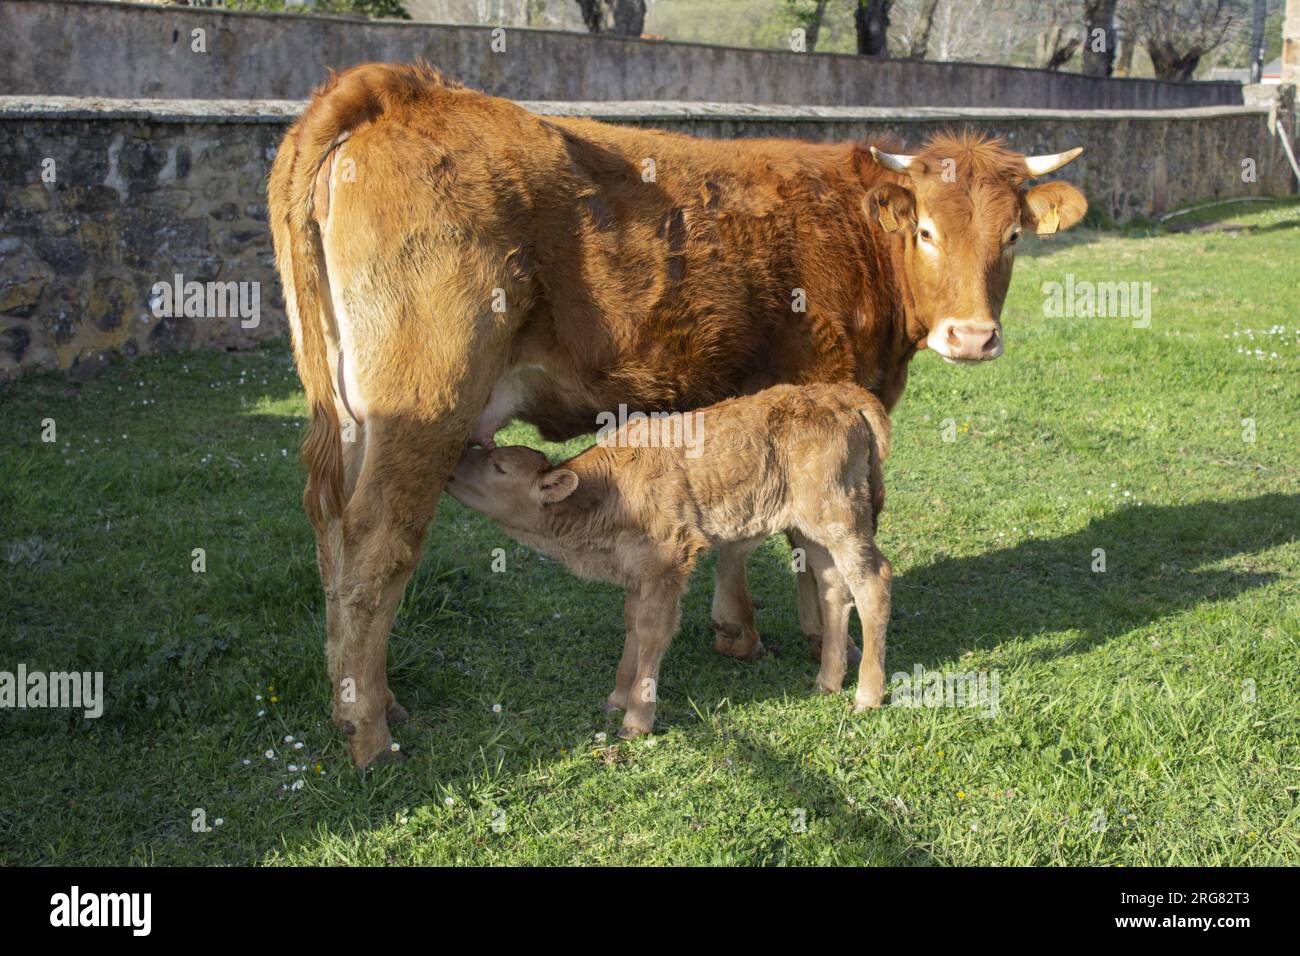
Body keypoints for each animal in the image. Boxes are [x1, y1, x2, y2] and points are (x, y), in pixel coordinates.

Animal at [444, 383, 894, 737]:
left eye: (498, 466)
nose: (454, 458)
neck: (609, 491)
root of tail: (837, 394)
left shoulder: (669, 564)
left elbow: (652, 632)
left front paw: (637, 718)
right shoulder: (637, 572)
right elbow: (632, 625)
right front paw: (617, 696)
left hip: (840, 519)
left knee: (872, 582)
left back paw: (867, 695)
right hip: (811, 531)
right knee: (834, 588)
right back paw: (827, 681)